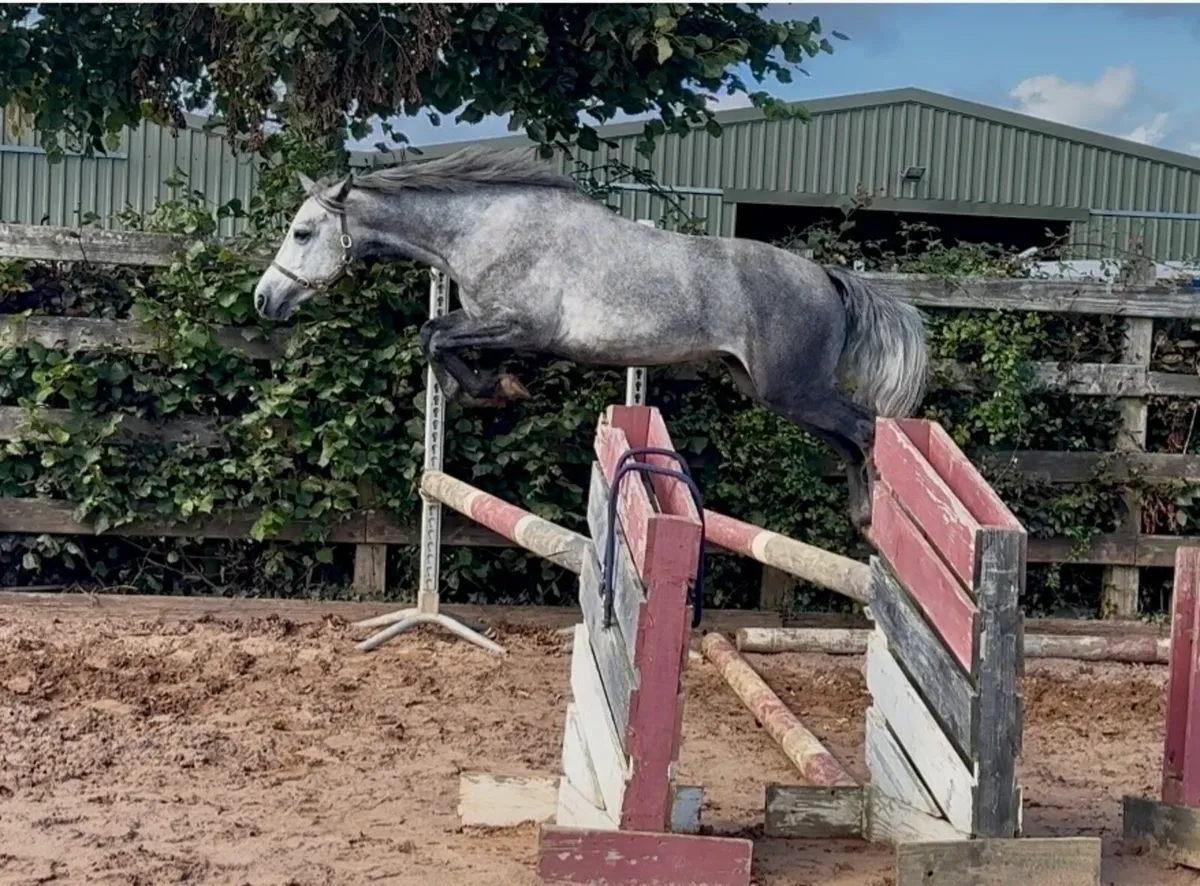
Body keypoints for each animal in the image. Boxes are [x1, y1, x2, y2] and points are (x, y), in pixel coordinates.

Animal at [251, 146, 928, 529]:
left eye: (303, 232)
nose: (264, 299)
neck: (483, 226)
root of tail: (826, 276)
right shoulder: (495, 323)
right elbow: (435, 337)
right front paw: (487, 390)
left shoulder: (522, 325)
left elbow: (434, 334)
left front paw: (495, 389)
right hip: (773, 393)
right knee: (850, 439)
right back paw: (862, 517)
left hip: (793, 390)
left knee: (867, 428)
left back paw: (875, 523)